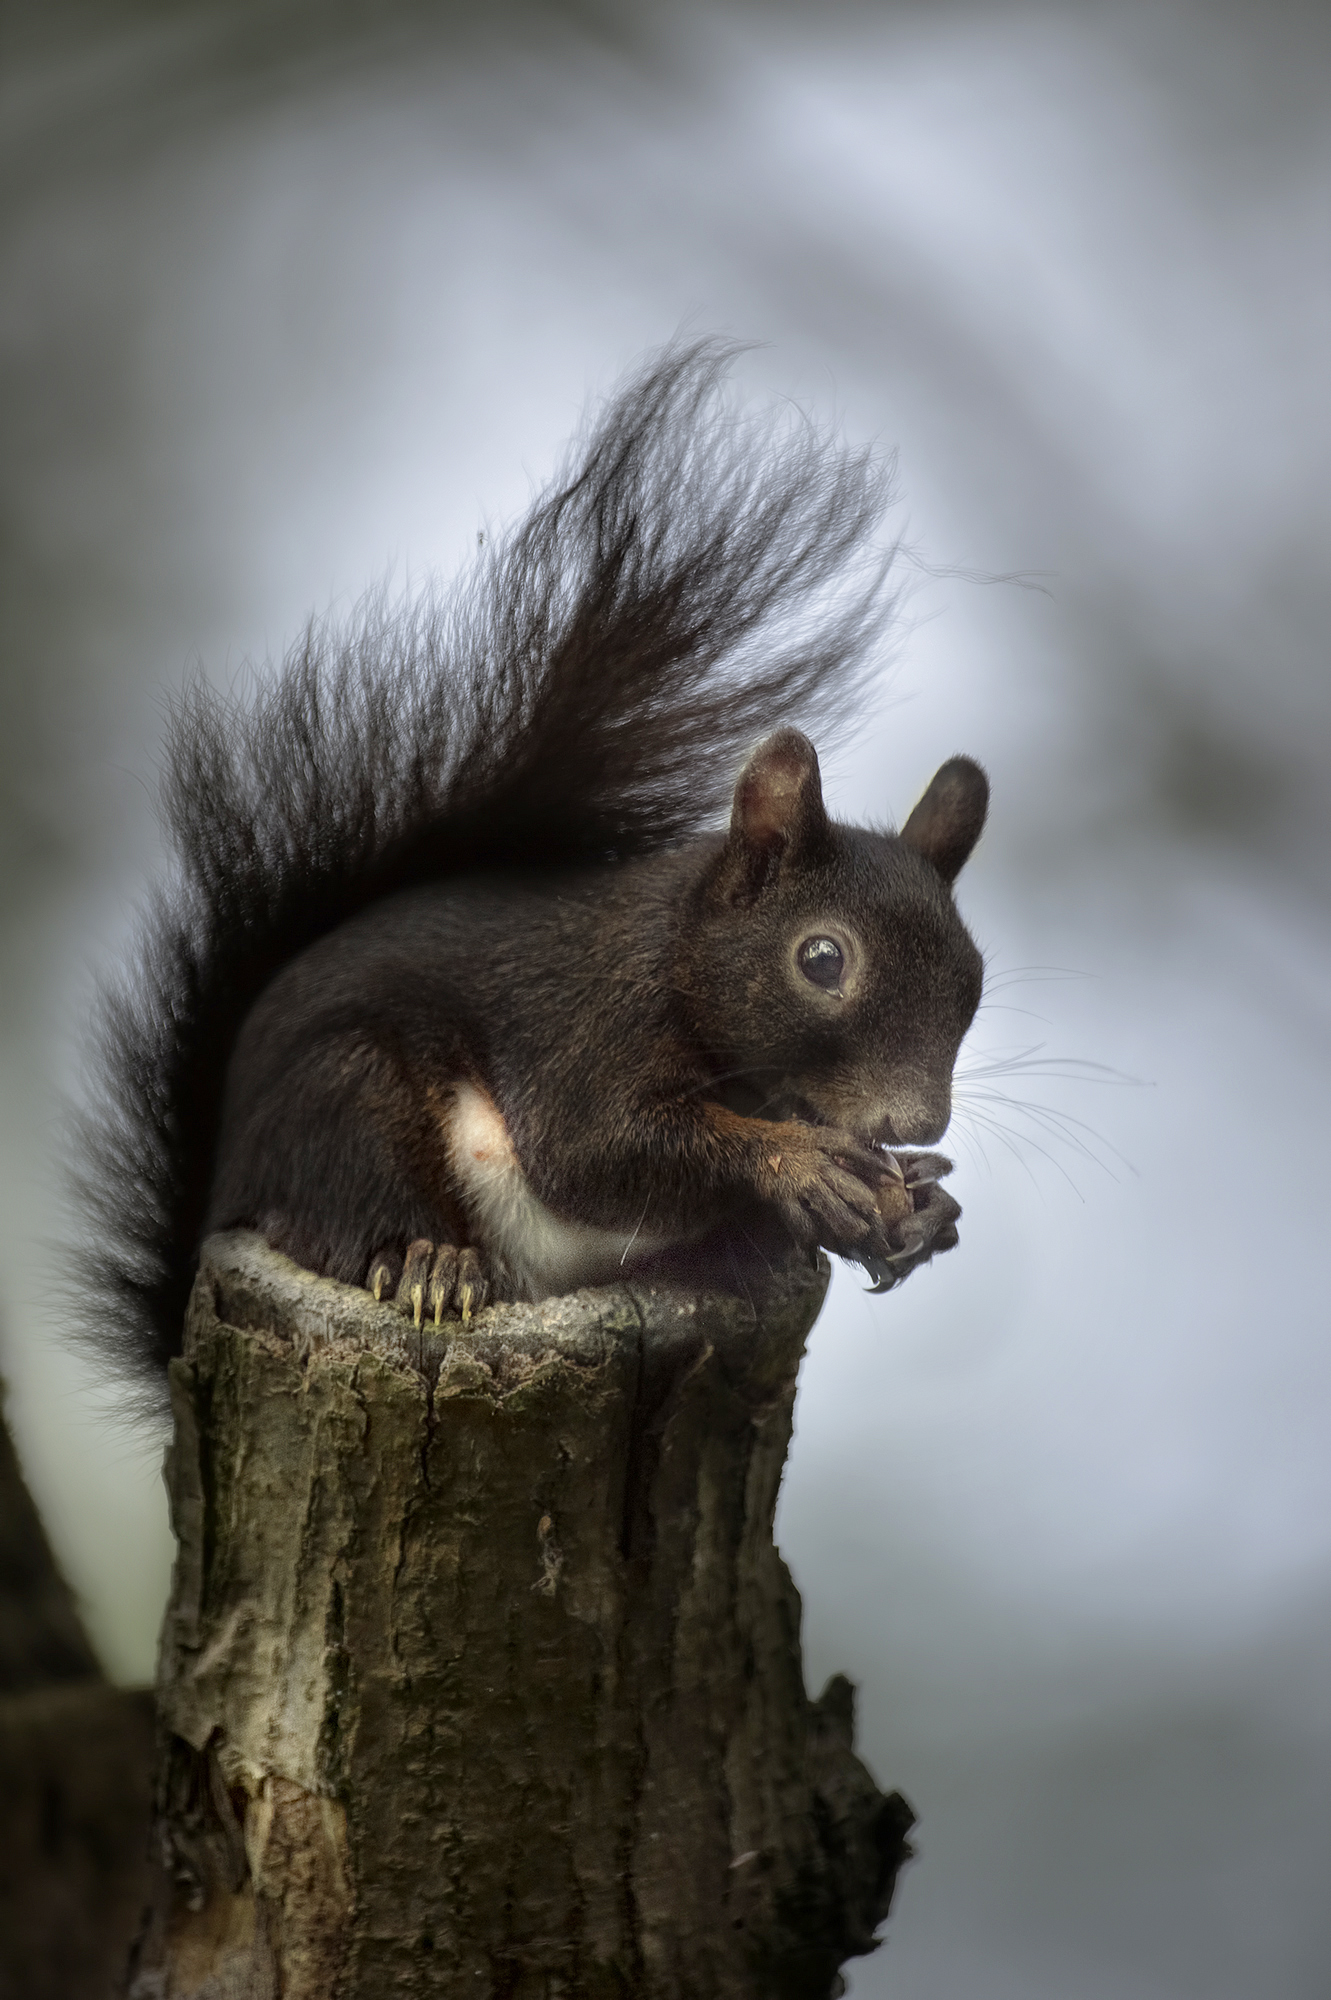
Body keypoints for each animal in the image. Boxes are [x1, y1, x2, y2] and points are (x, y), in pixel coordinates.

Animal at [77, 341, 988, 1386]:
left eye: (975, 977)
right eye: (822, 959)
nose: (915, 1123)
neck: (679, 954)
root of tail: (220, 1196)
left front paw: (921, 1201)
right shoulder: (587, 1024)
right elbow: (593, 1149)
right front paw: (799, 1164)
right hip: (340, 1094)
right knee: (354, 1209)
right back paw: (426, 1259)